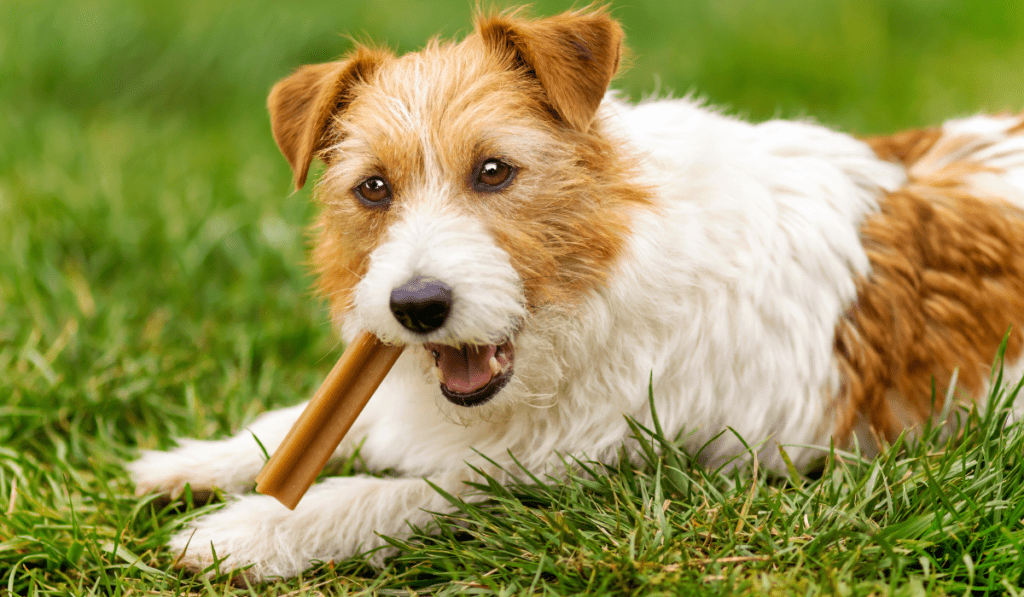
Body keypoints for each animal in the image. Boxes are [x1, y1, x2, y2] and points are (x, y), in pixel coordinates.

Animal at [128, 7, 1024, 581]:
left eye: (495, 171)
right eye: (373, 188)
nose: (417, 306)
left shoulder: (592, 483)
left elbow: (404, 492)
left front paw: (254, 530)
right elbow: (303, 425)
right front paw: (193, 460)